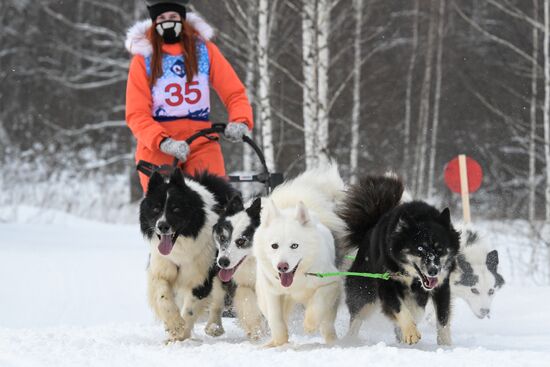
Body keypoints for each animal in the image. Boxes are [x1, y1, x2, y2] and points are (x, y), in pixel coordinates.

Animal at [140, 171, 239, 344]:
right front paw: (174, 326)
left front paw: (180, 335)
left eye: (176, 209)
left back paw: (214, 327)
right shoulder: (160, 270)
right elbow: (163, 296)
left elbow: (190, 310)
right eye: (156, 208)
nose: (162, 226)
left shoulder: (201, 277)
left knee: (218, 298)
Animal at [253, 165, 344, 348]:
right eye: (274, 246)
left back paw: (332, 341)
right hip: (264, 298)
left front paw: (309, 325)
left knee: (327, 324)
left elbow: (318, 304)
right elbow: (276, 320)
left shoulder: (331, 283)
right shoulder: (272, 293)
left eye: (294, 245)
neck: (296, 280)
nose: (282, 266)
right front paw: (280, 342)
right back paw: (271, 342)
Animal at [340, 175, 462, 344]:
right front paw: (410, 332)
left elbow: (442, 317)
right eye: (420, 249)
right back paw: (349, 340)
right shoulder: (387, 282)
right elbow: (399, 307)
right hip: (364, 293)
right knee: (357, 316)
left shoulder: (441, 285)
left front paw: (445, 344)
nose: (433, 271)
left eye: (440, 249)